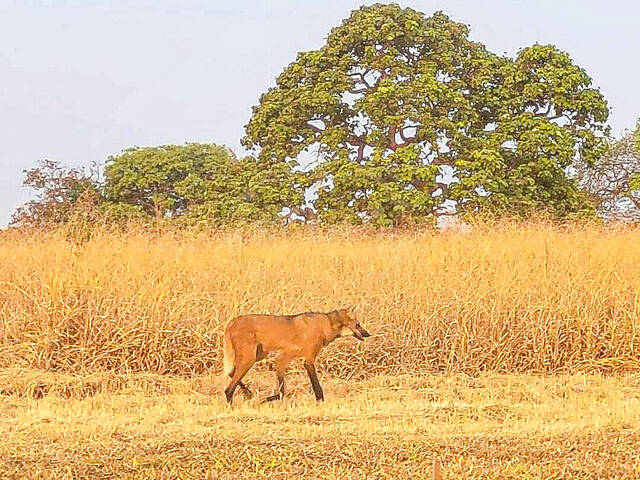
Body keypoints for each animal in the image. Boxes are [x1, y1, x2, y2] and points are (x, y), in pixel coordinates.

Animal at [222, 308, 370, 404]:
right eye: (358, 325)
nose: (368, 333)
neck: (326, 325)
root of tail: (231, 322)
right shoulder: (306, 360)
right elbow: (315, 386)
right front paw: (320, 401)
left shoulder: (282, 358)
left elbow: (282, 391)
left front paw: (267, 399)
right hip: (249, 359)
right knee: (228, 389)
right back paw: (232, 404)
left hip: (256, 356)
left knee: (231, 374)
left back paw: (248, 393)